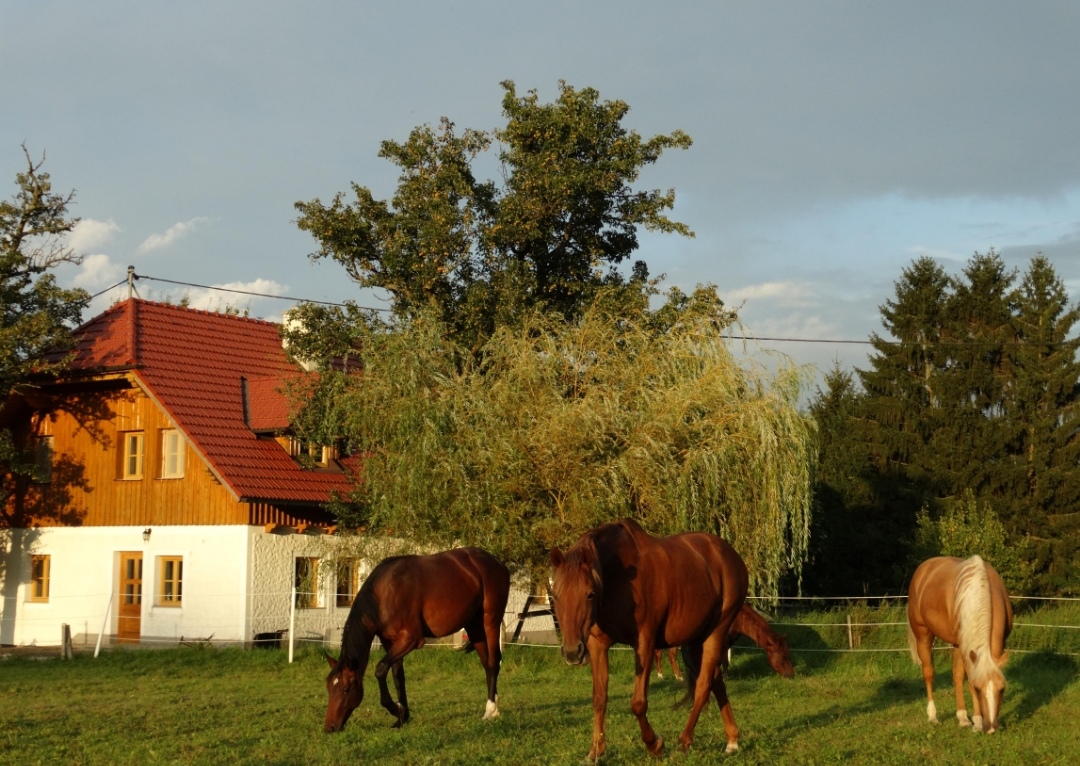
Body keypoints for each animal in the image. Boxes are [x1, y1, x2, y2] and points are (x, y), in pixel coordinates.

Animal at [323, 547, 510, 733]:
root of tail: (497, 563)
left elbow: (381, 669)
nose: (329, 727)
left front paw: (395, 709)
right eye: (329, 687)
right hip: (474, 626)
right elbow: (398, 676)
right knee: (486, 664)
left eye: (346, 689)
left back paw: (490, 711)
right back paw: (494, 706)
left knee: (493, 662)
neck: (384, 593)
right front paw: (402, 717)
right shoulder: (389, 641)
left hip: (490, 621)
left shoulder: (411, 639)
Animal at [549, 518, 748, 760]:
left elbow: (638, 703)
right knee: (716, 681)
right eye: (555, 595)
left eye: (589, 594)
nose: (572, 652)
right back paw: (732, 739)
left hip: (716, 632)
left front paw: (655, 745)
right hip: (696, 640)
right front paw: (596, 750)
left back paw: (684, 742)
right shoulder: (597, 646)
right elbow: (599, 698)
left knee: (703, 686)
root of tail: (729, 554)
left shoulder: (644, 643)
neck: (619, 579)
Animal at [907, 555, 1013, 734]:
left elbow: (960, 676)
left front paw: (969, 720)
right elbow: (969, 681)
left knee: (956, 676)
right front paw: (977, 721)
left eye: (1002, 689)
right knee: (928, 673)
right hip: (923, 635)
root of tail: (924, 568)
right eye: (977, 689)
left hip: (956, 644)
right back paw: (933, 716)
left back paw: (962, 718)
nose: (991, 728)